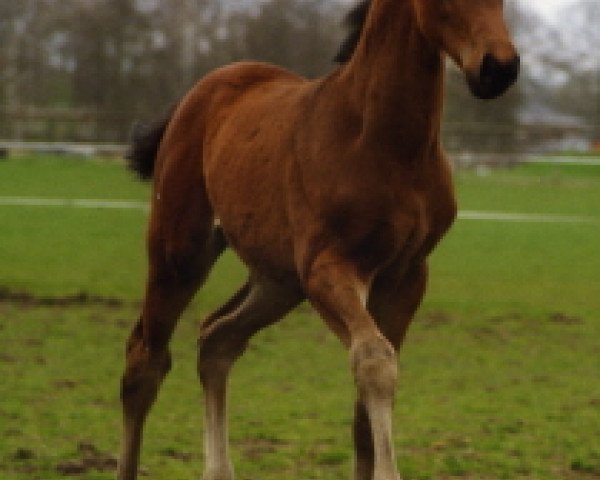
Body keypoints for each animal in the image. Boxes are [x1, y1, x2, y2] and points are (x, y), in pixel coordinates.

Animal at [118, 0, 520, 478]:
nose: (499, 67)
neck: (386, 143)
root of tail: (198, 93)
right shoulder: (330, 268)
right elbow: (374, 361)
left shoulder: (406, 275)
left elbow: (366, 406)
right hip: (180, 253)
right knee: (145, 361)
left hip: (278, 280)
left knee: (217, 339)